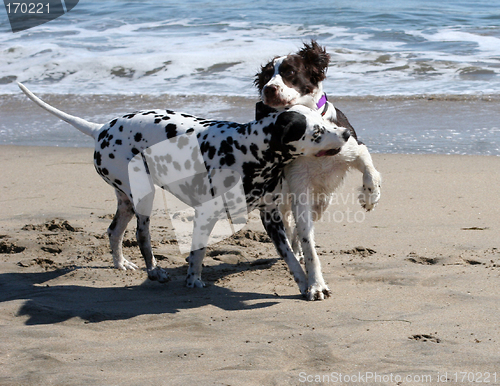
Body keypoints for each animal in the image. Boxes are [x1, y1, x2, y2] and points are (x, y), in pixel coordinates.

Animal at [17, 81, 350, 298]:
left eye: (322, 119)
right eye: (316, 132)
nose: (346, 133)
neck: (247, 150)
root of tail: (101, 129)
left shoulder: (272, 218)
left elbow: (293, 257)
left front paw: (307, 285)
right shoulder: (206, 214)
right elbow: (198, 250)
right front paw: (193, 280)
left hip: (127, 202)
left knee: (113, 232)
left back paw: (121, 263)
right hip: (144, 199)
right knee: (141, 235)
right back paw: (154, 271)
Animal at [256, 41, 380, 302]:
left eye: (290, 71)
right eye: (266, 76)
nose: (268, 89)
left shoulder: (354, 146)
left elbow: (369, 169)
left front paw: (369, 196)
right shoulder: (298, 186)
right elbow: (307, 241)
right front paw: (316, 286)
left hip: (322, 201)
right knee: (291, 228)